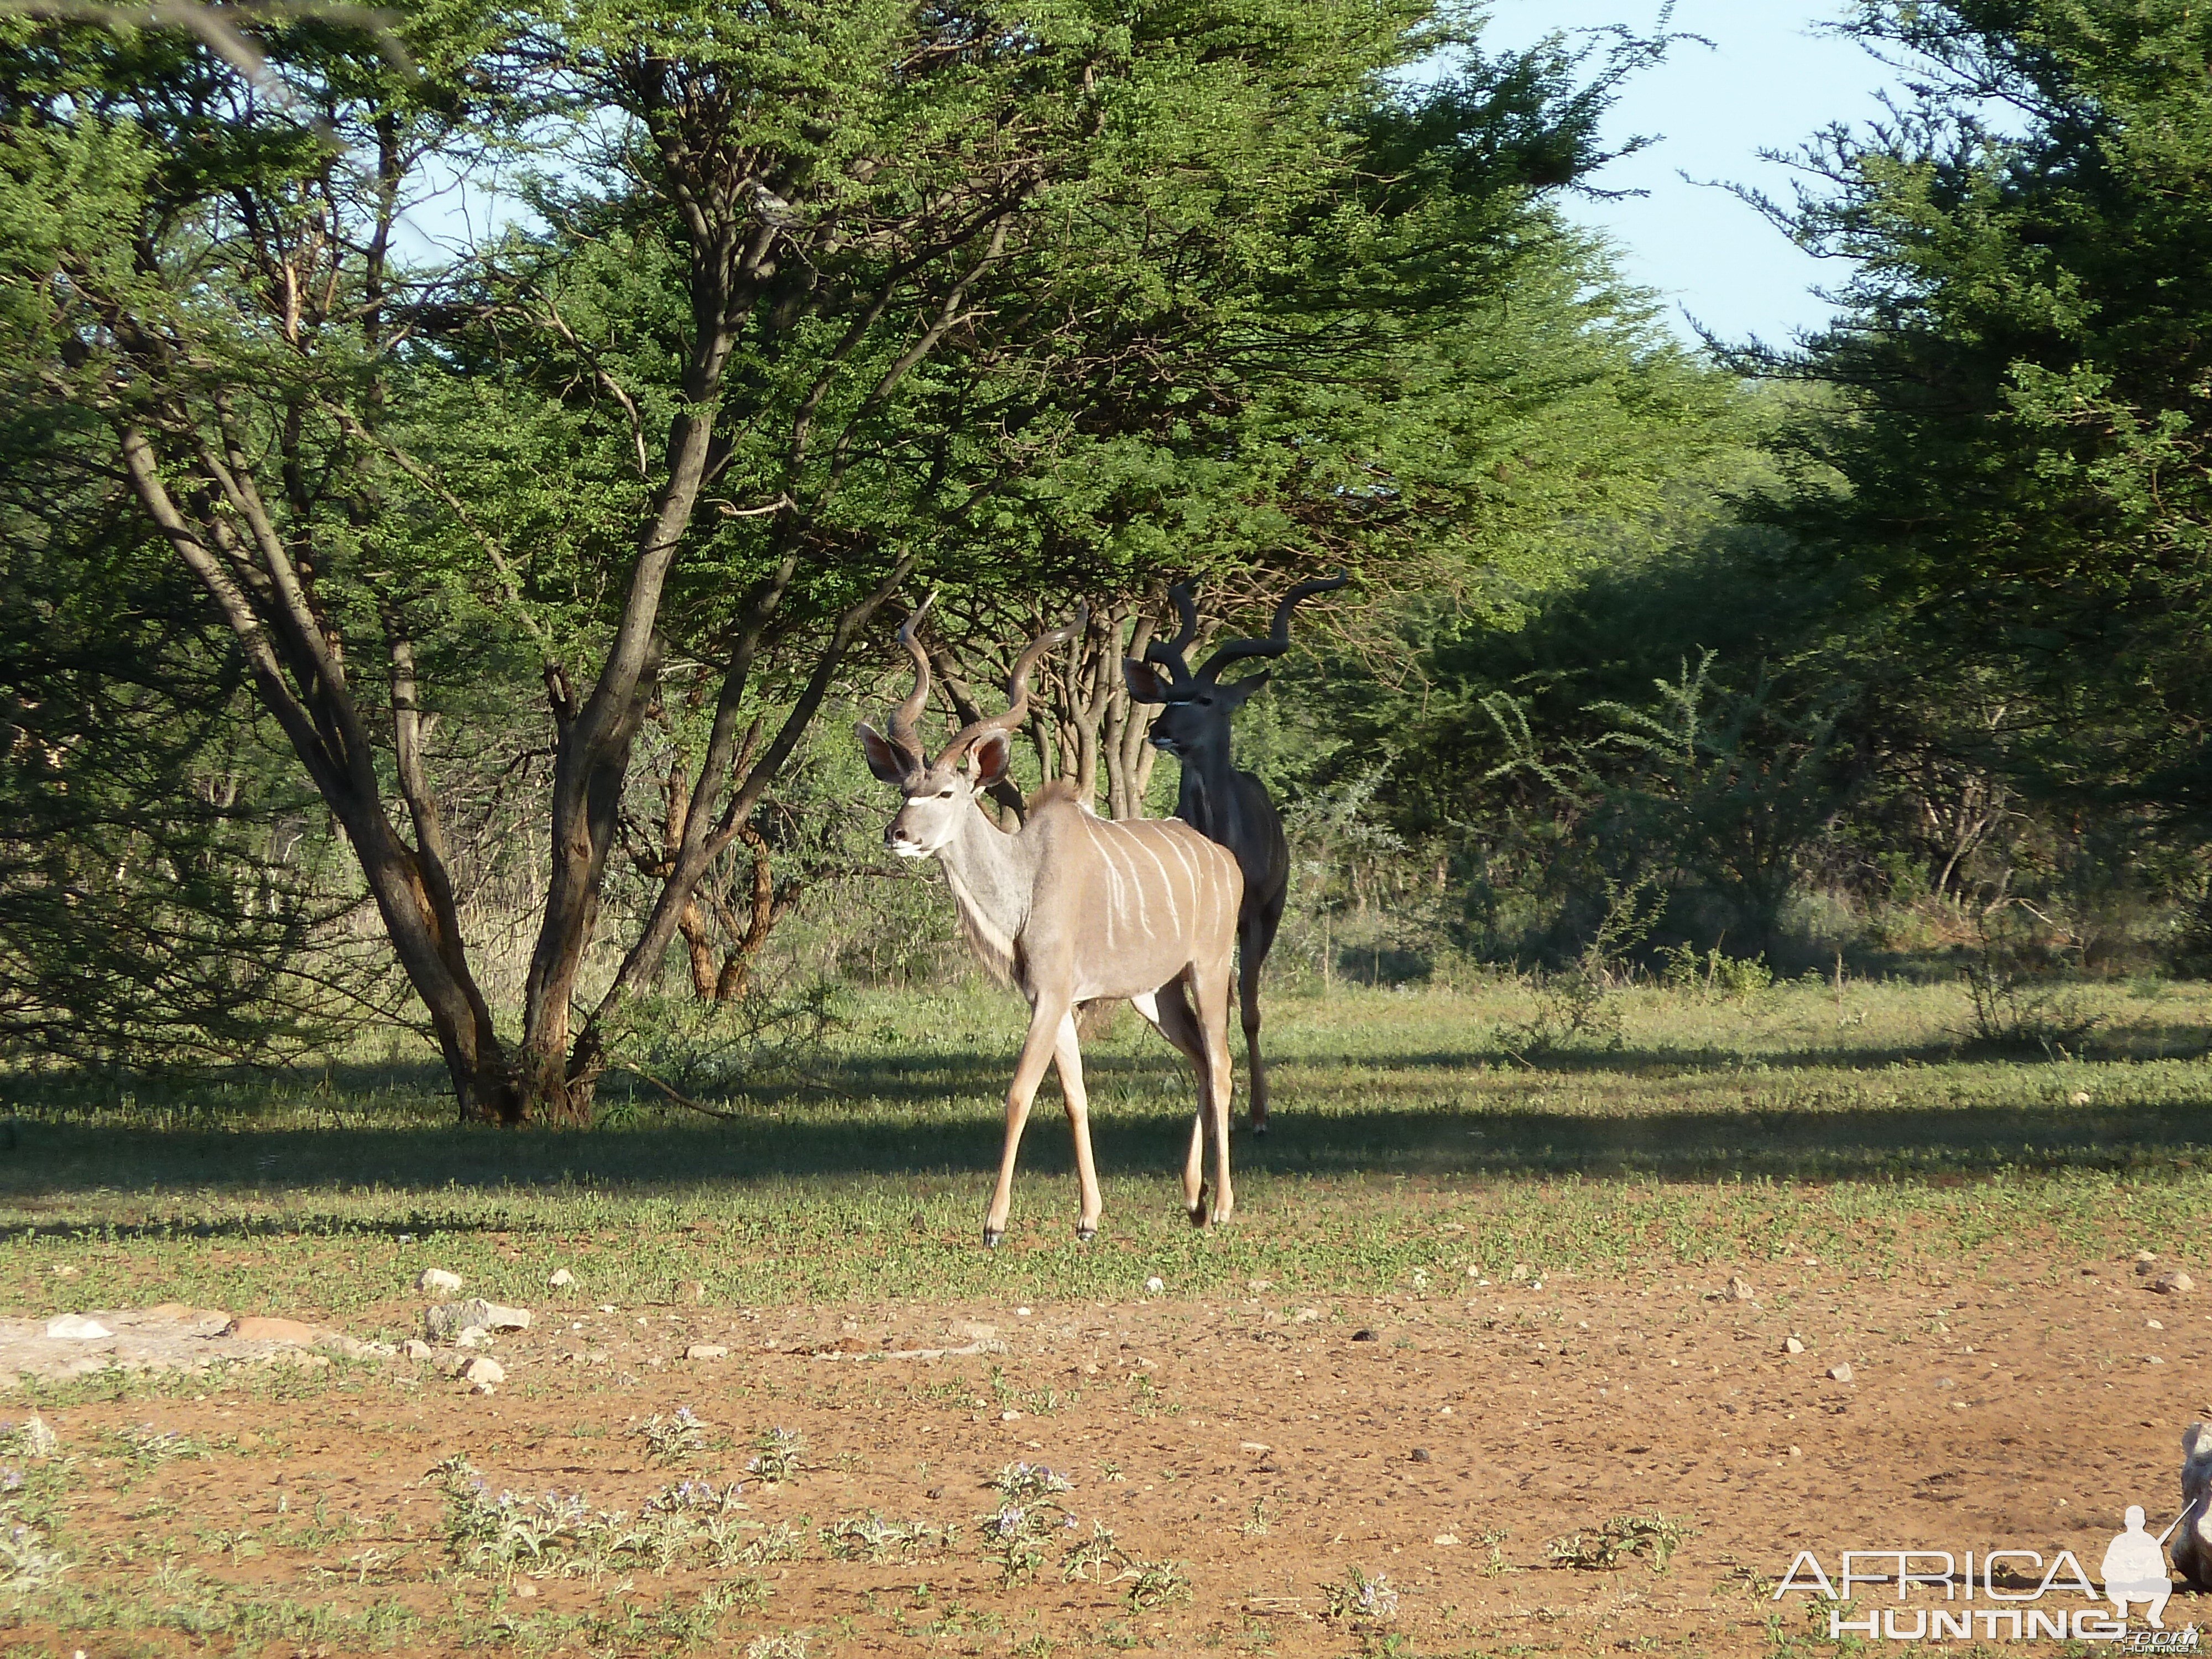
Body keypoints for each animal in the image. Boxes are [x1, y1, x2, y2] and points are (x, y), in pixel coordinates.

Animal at [858, 606, 1248, 1239]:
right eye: (905, 789)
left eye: (946, 792)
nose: (899, 835)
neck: (1025, 879)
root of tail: (1225, 861)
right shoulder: (1056, 1002)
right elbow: (1074, 1097)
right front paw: (1088, 1218)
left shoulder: (1052, 996)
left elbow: (1019, 1093)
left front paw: (994, 1224)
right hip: (1154, 993)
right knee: (1196, 1062)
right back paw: (1193, 1198)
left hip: (1209, 968)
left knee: (1220, 1064)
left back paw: (1221, 1206)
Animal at [1124, 571, 1345, 1133]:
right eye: (1169, 695)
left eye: (1203, 699)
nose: (1159, 730)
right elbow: (1211, 1014)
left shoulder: (1256, 916)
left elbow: (1247, 1008)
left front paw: (1260, 1114)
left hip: (1269, 912)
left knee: (1245, 998)